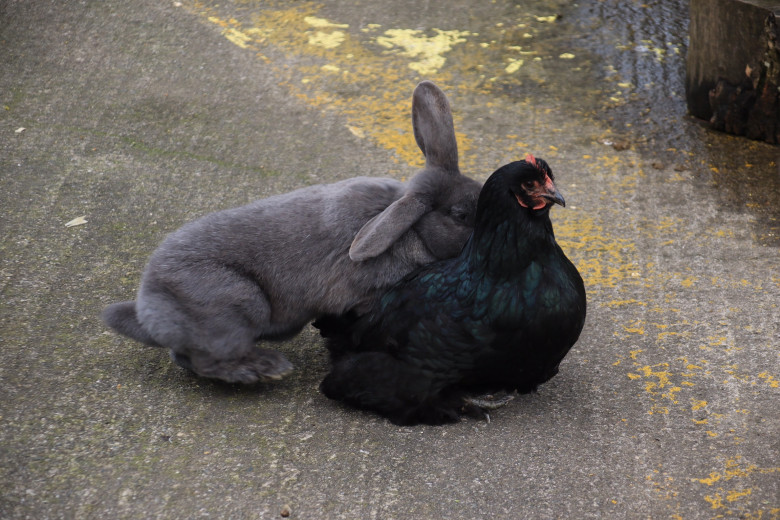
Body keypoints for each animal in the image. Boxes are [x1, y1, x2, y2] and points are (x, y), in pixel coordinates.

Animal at [102, 80, 482, 382]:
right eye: (461, 215)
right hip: (237, 303)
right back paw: (264, 371)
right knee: (204, 360)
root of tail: (148, 306)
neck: (411, 231)